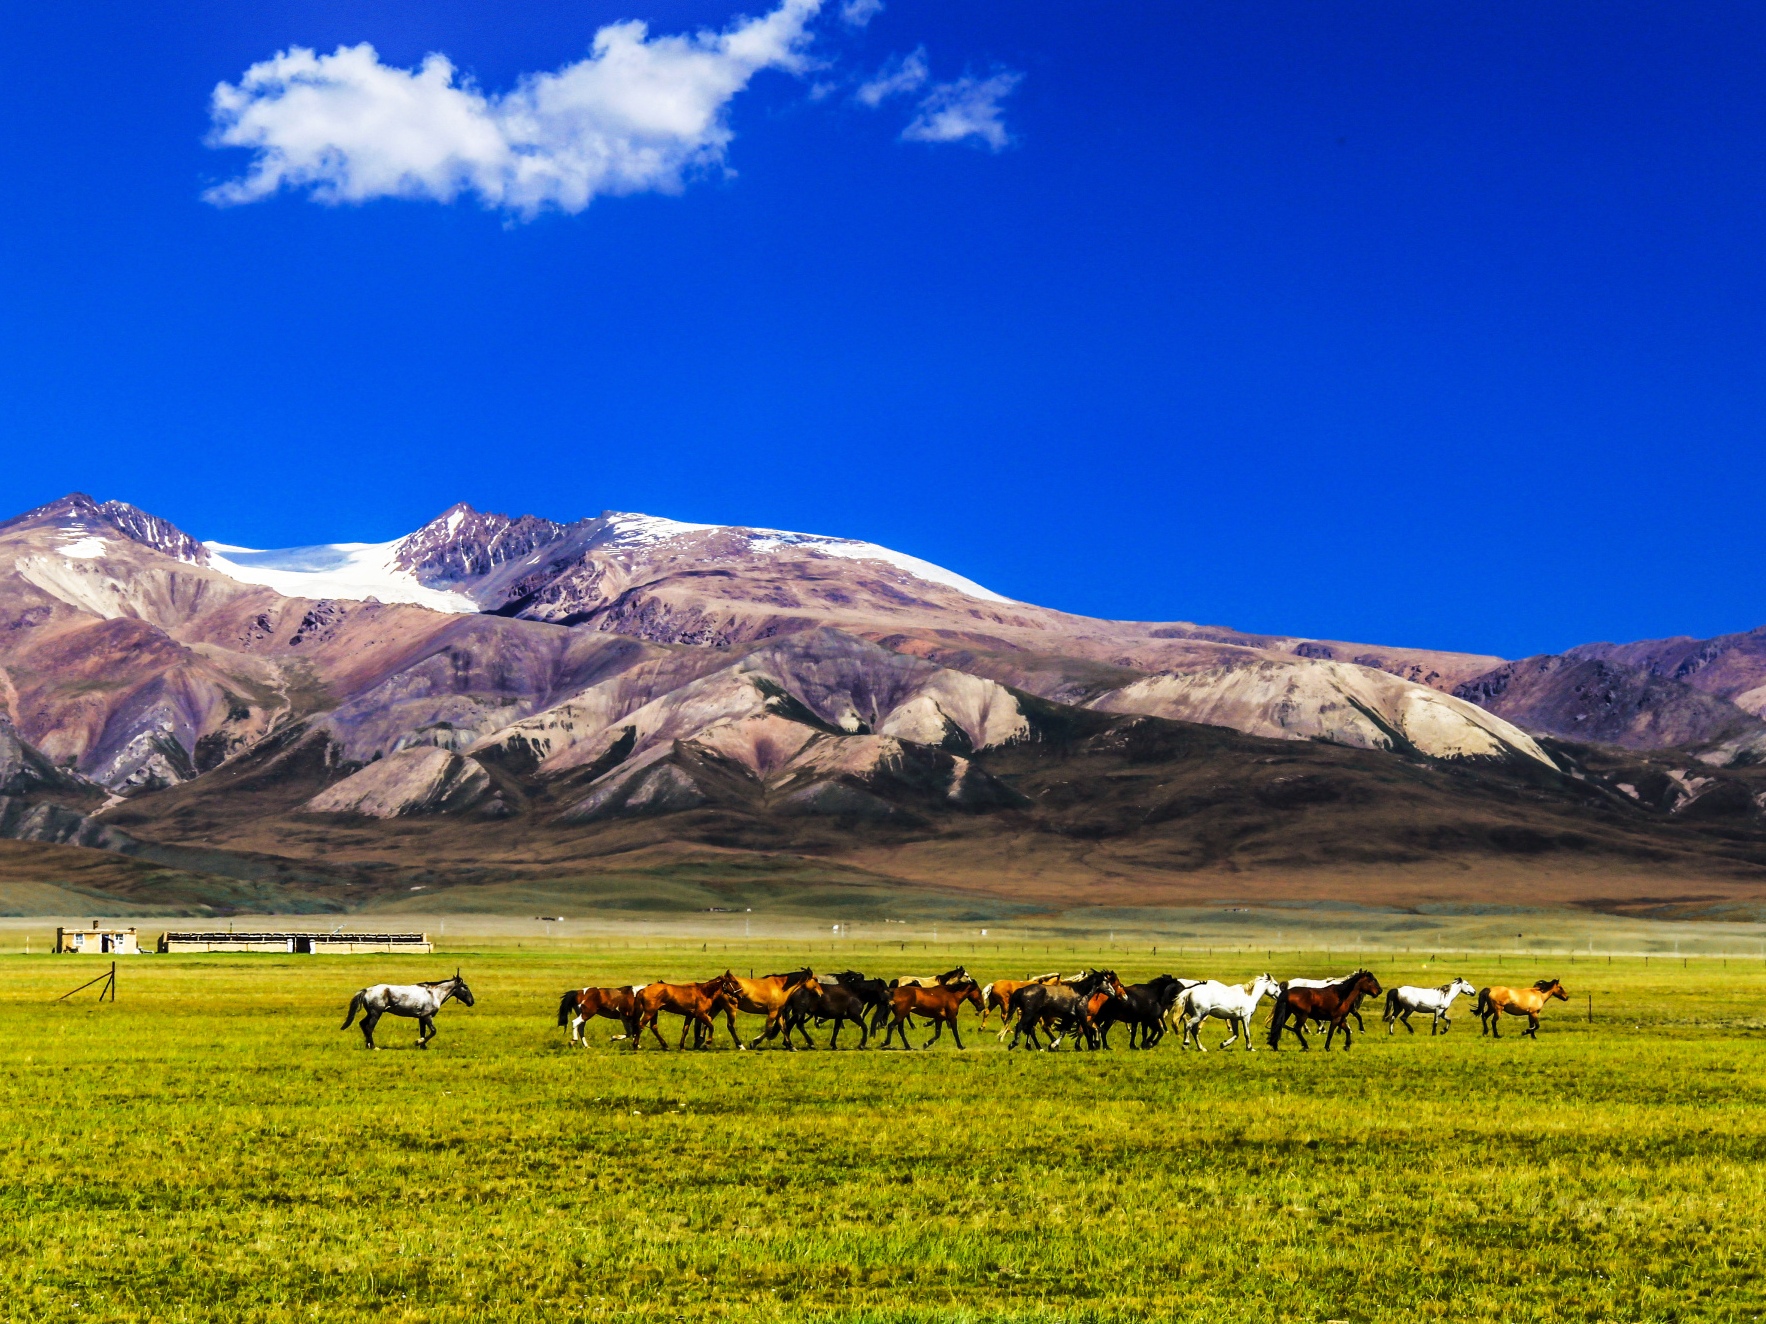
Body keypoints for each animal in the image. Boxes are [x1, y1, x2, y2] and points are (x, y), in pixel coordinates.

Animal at [337, 967, 473, 1052]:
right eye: (465, 987)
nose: (472, 1002)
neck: (433, 993)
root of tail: (367, 990)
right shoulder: (427, 1016)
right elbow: (433, 1031)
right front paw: (418, 1042)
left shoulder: (421, 1018)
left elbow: (423, 1032)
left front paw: (423, 1046)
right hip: (376, 1013)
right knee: (369, 1027)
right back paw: (374, 1047)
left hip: (371, 1013)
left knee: (363, 1024)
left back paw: (368, 1045)